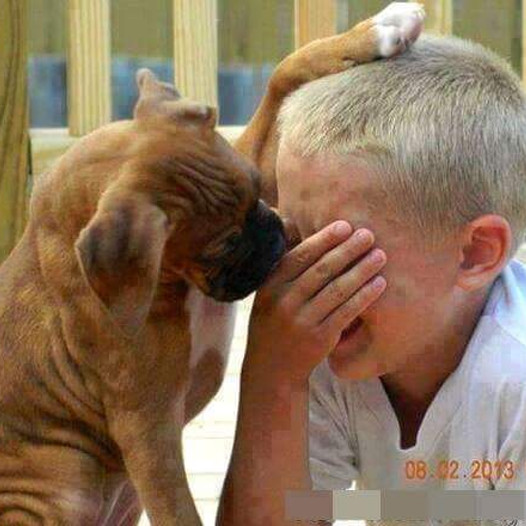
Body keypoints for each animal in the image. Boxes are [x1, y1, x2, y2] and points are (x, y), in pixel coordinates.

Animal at [0, 4, 424, 526]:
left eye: (259, 189)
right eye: (223, 247)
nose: (277, 235)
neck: (169, 283)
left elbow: (285, 73)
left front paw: (382, 28)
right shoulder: (148, 432)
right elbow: (179, 510)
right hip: (59, 490)